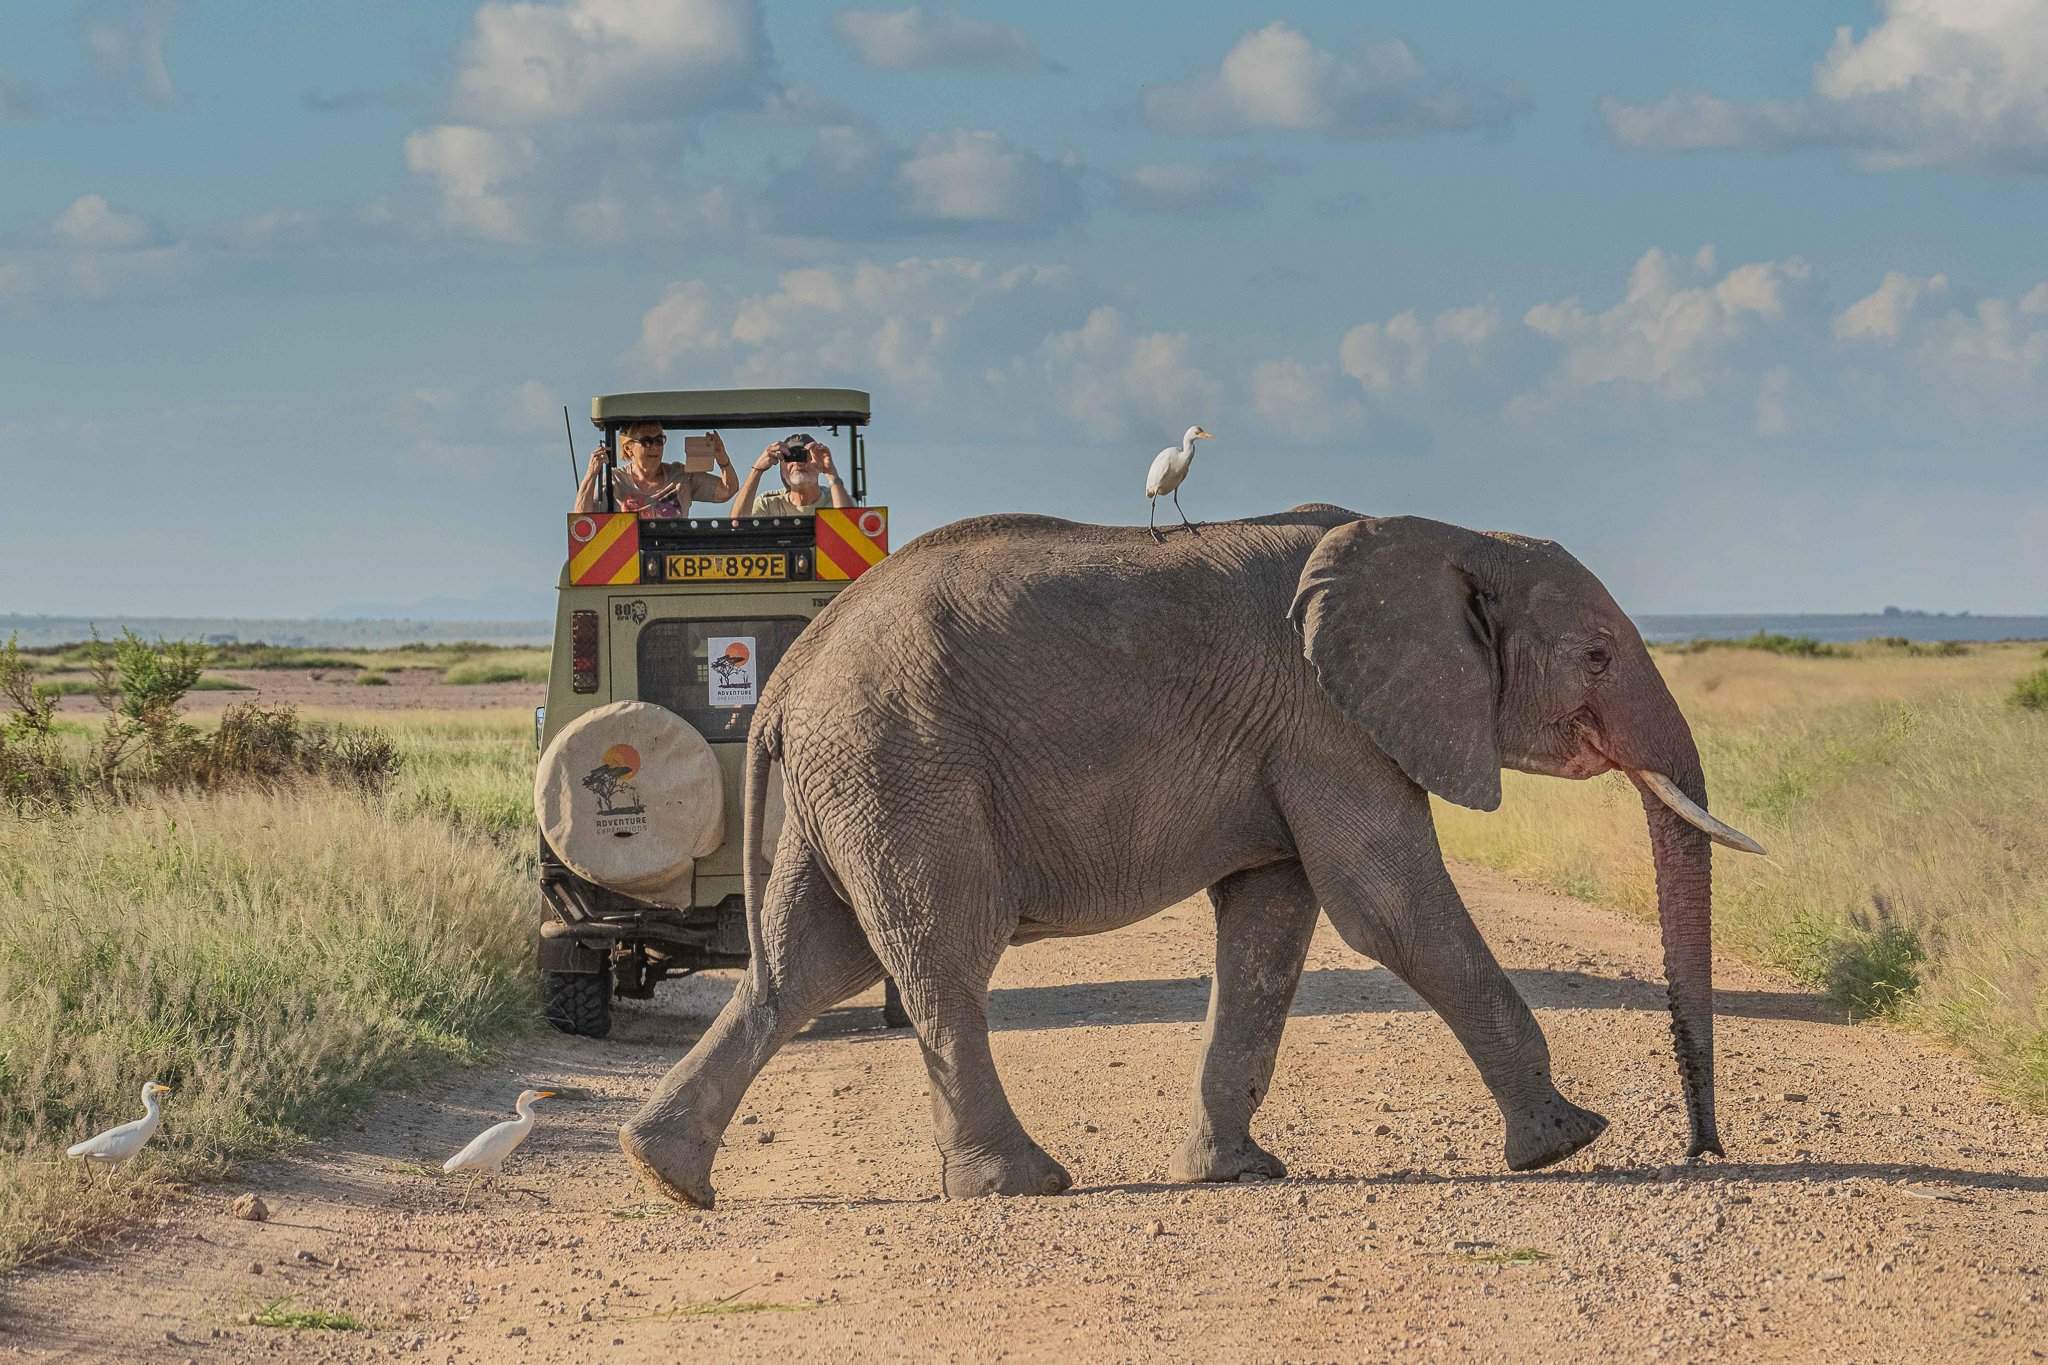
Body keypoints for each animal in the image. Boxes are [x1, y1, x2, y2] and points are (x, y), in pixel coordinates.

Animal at [614, 505, 1769, 1203]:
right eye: (1597, 655)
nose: (1703, 1146)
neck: (1440, 532)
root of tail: (785, 677)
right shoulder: (1326, 722)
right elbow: (1387, 905)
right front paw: (1571, 1139)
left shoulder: (1297, 737)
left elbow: (1270, 925)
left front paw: (1238, 1172)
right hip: (906, 772)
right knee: (939, 960)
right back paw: (1023, 1184)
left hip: (851, 788)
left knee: (807, 967)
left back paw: (666, 1175)